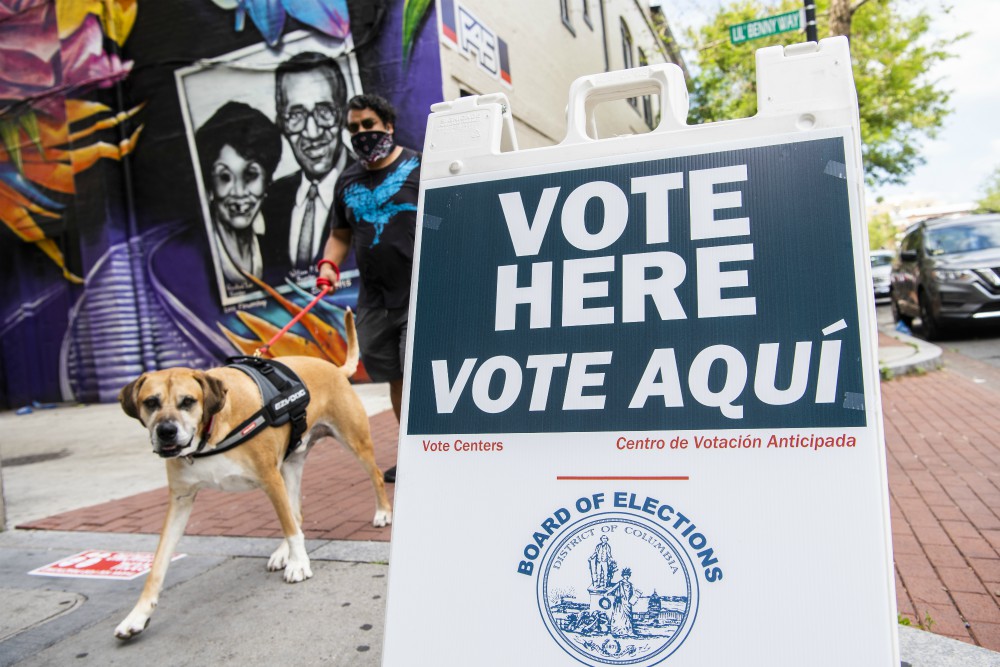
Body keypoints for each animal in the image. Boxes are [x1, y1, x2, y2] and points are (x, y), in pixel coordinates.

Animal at [111, 314, 388, 640]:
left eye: (188, 401)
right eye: (150, 402)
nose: (166, 431)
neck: (211, 432)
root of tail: (333, 368)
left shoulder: (269, 478)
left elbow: (289, 528)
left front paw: (299, 564)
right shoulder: (181, 499)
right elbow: (158, 565)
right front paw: (138, 615)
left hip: (353, 442)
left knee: (372, 478)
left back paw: (382, 513)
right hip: (289, 464)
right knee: (296, 513)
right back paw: (284, 553)